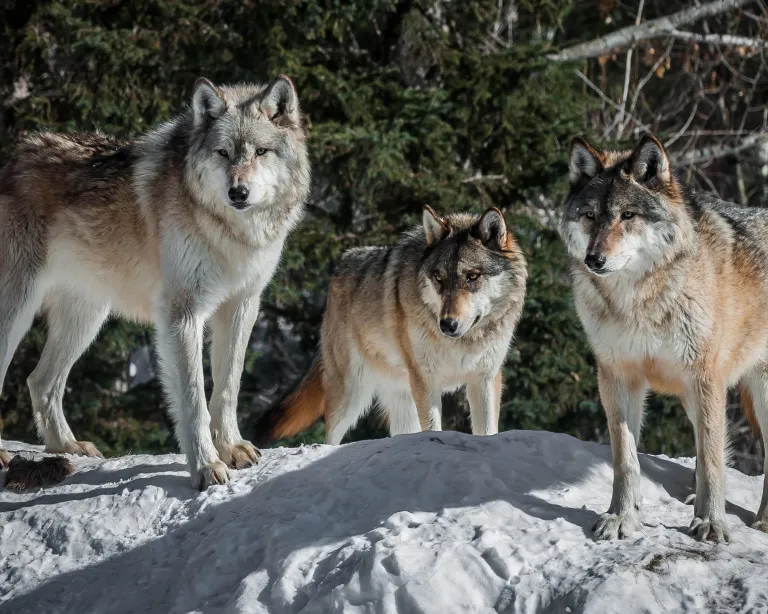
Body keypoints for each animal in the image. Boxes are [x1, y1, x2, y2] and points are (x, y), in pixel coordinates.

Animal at [0, 76, 310, 489]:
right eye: (223, 153)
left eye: (260, 152)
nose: (238, 193)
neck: (229, 232)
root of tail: (11, 156)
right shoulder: (182, 313)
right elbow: (194, 399)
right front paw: (206, 467)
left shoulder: (242, 306)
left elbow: (228, 386)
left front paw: (232, 448)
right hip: (18, 312)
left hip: (86, 319)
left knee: (40, 381)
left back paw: (67, 447)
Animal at [255, 206, 527, 445]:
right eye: (438, 278)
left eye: (472, 276)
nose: (447, 325)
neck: (462, 343)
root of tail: (340, 264)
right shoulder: (426, 380)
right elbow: (433, 426)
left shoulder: (485, 378)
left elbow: (487, 431)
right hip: (351, 394)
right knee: (330, 436)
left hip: (399, 398)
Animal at [561, 133, 768, 542]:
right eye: (590, 215)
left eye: (628, 216)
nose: (594, 260)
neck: (638, 302)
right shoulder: (617, 376)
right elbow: (625, 460)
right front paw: (621, 517)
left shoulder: (706, 378)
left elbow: (712, 460)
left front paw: (712, 523)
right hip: (692, 396)